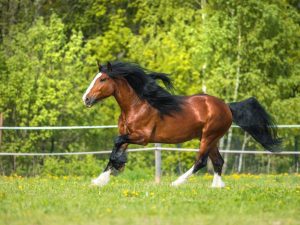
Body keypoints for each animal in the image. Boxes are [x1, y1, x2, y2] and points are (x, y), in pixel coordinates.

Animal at [82, 61, 282, 188]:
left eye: (102, 79)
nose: (86, 99)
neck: (136, 105)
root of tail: (227, 106)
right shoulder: (127, 135)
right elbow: (114, 151)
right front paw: (100, 180)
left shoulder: (142, 137)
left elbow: (116, 145)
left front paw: (116, 169)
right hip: (211, 138)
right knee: (218, 161)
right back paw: (216, 187)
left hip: (208, 137)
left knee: (201, 162)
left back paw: (176, 183)